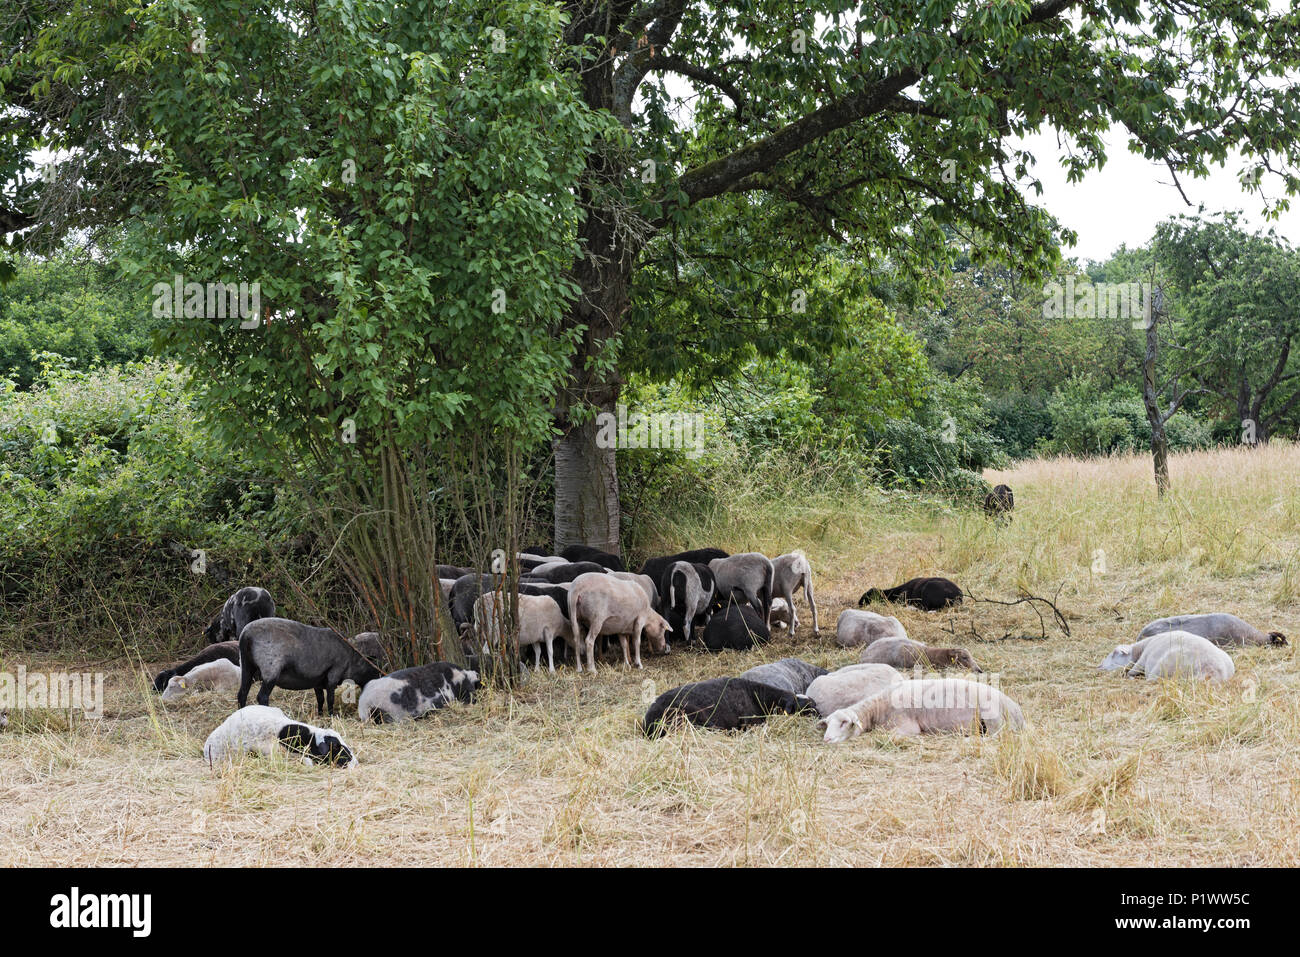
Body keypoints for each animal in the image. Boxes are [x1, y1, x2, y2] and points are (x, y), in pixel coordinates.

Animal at [239, 616, 382, 712]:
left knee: (242, 693)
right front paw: (331, 716)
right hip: (271, 669)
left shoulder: (317, 680)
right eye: (374, 670)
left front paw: (320, 714)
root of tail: (246, 634)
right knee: (262, 696)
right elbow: (330, 699)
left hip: (246, 666)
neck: (352, 659)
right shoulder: (334, 673)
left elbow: (320, 698)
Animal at [821, 676, 1024, 743]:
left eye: (844, 723)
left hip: (993, 718)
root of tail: (1017, 711)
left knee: (998, 736)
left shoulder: (906, 725)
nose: (827, 739)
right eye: (827, 724)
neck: (878, 708)